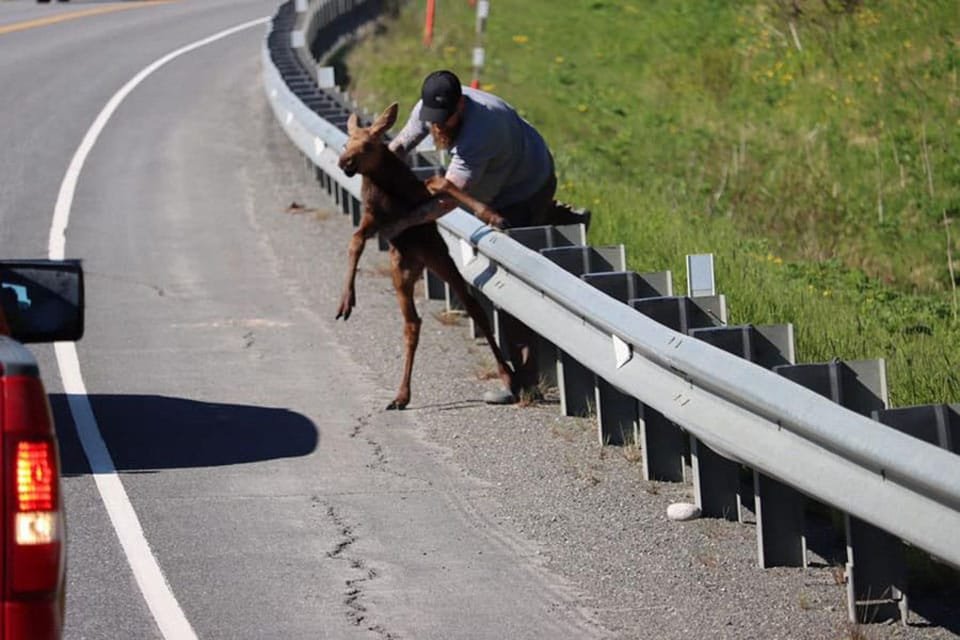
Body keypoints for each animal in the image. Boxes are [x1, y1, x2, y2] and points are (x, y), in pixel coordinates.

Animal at [338, 100, 516, 410]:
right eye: (347, 142)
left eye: (369, 144)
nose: (343, 162)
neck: (385, 184)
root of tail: (418, 262)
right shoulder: (373, 218)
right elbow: (355, 242)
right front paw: (346, 300)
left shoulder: (419, 197)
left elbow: (442, 182)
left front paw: (493, 215)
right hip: (400, 273)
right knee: (412, 323)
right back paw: (401, 395)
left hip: (441, 259)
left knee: (474, 309)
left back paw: (506, 375)